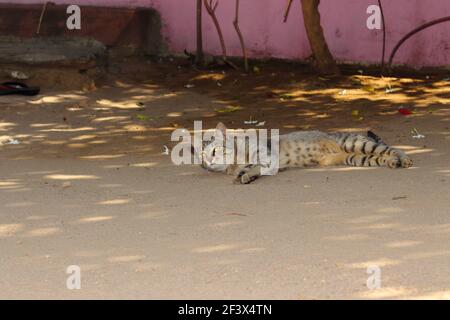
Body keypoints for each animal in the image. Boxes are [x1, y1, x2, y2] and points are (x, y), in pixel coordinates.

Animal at [195, 122, 414, 184]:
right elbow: (253, 169)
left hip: (356, 144)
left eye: (214, 150)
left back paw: (404, 159)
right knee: (379, 157)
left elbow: (256, 165)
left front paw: (245, 173)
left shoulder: (266, 154)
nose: (208, 163)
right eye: (202, 158)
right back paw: (391, 162)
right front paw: (245, 175)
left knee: (391, 148)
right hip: (357, 158)